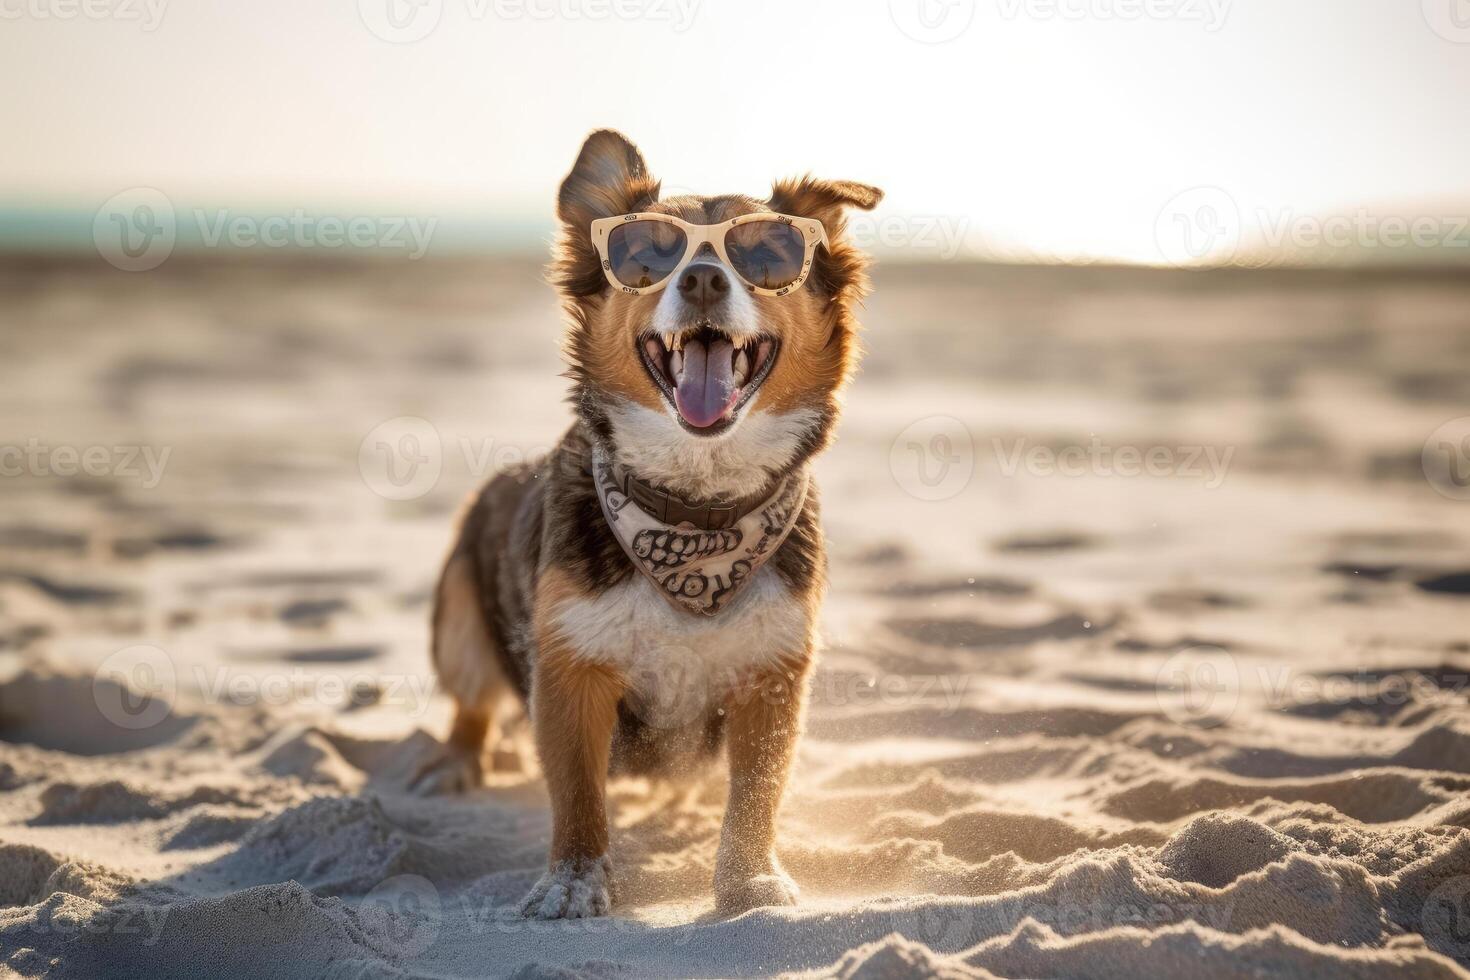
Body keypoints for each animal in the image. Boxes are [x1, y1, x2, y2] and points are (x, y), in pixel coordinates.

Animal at [414, 130, 876, 922]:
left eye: (766, 254)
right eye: (646, 256)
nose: (703, 280)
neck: (696, 514)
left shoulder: (772, 676)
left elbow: (756, 797)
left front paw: (749, 879)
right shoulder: (570, 672)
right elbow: (578, 796)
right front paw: (572, 881)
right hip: (458, 619)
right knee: (471, 703)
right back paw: (456, 763)